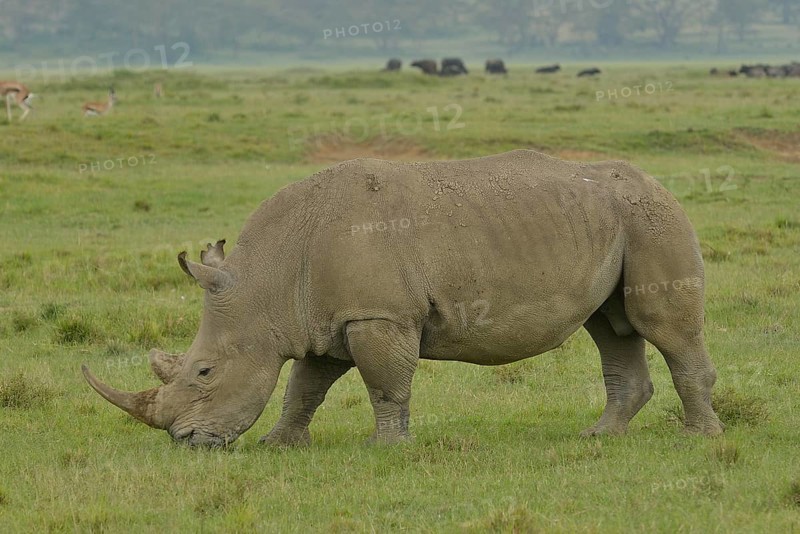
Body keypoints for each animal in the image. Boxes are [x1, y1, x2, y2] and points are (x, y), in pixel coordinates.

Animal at [82, 150, 724, 447]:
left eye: (205, 371)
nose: (184, 441)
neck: (269, 282)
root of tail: (660, 184)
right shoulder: (325, 318)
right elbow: (304, 386)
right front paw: (279, 443)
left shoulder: (378, 315)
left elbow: (384, 382)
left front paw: (385, 446)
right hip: (612, 221)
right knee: (611, 328)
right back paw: (599, 437)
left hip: (654, 217)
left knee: (658, 327)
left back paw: (699, 437)